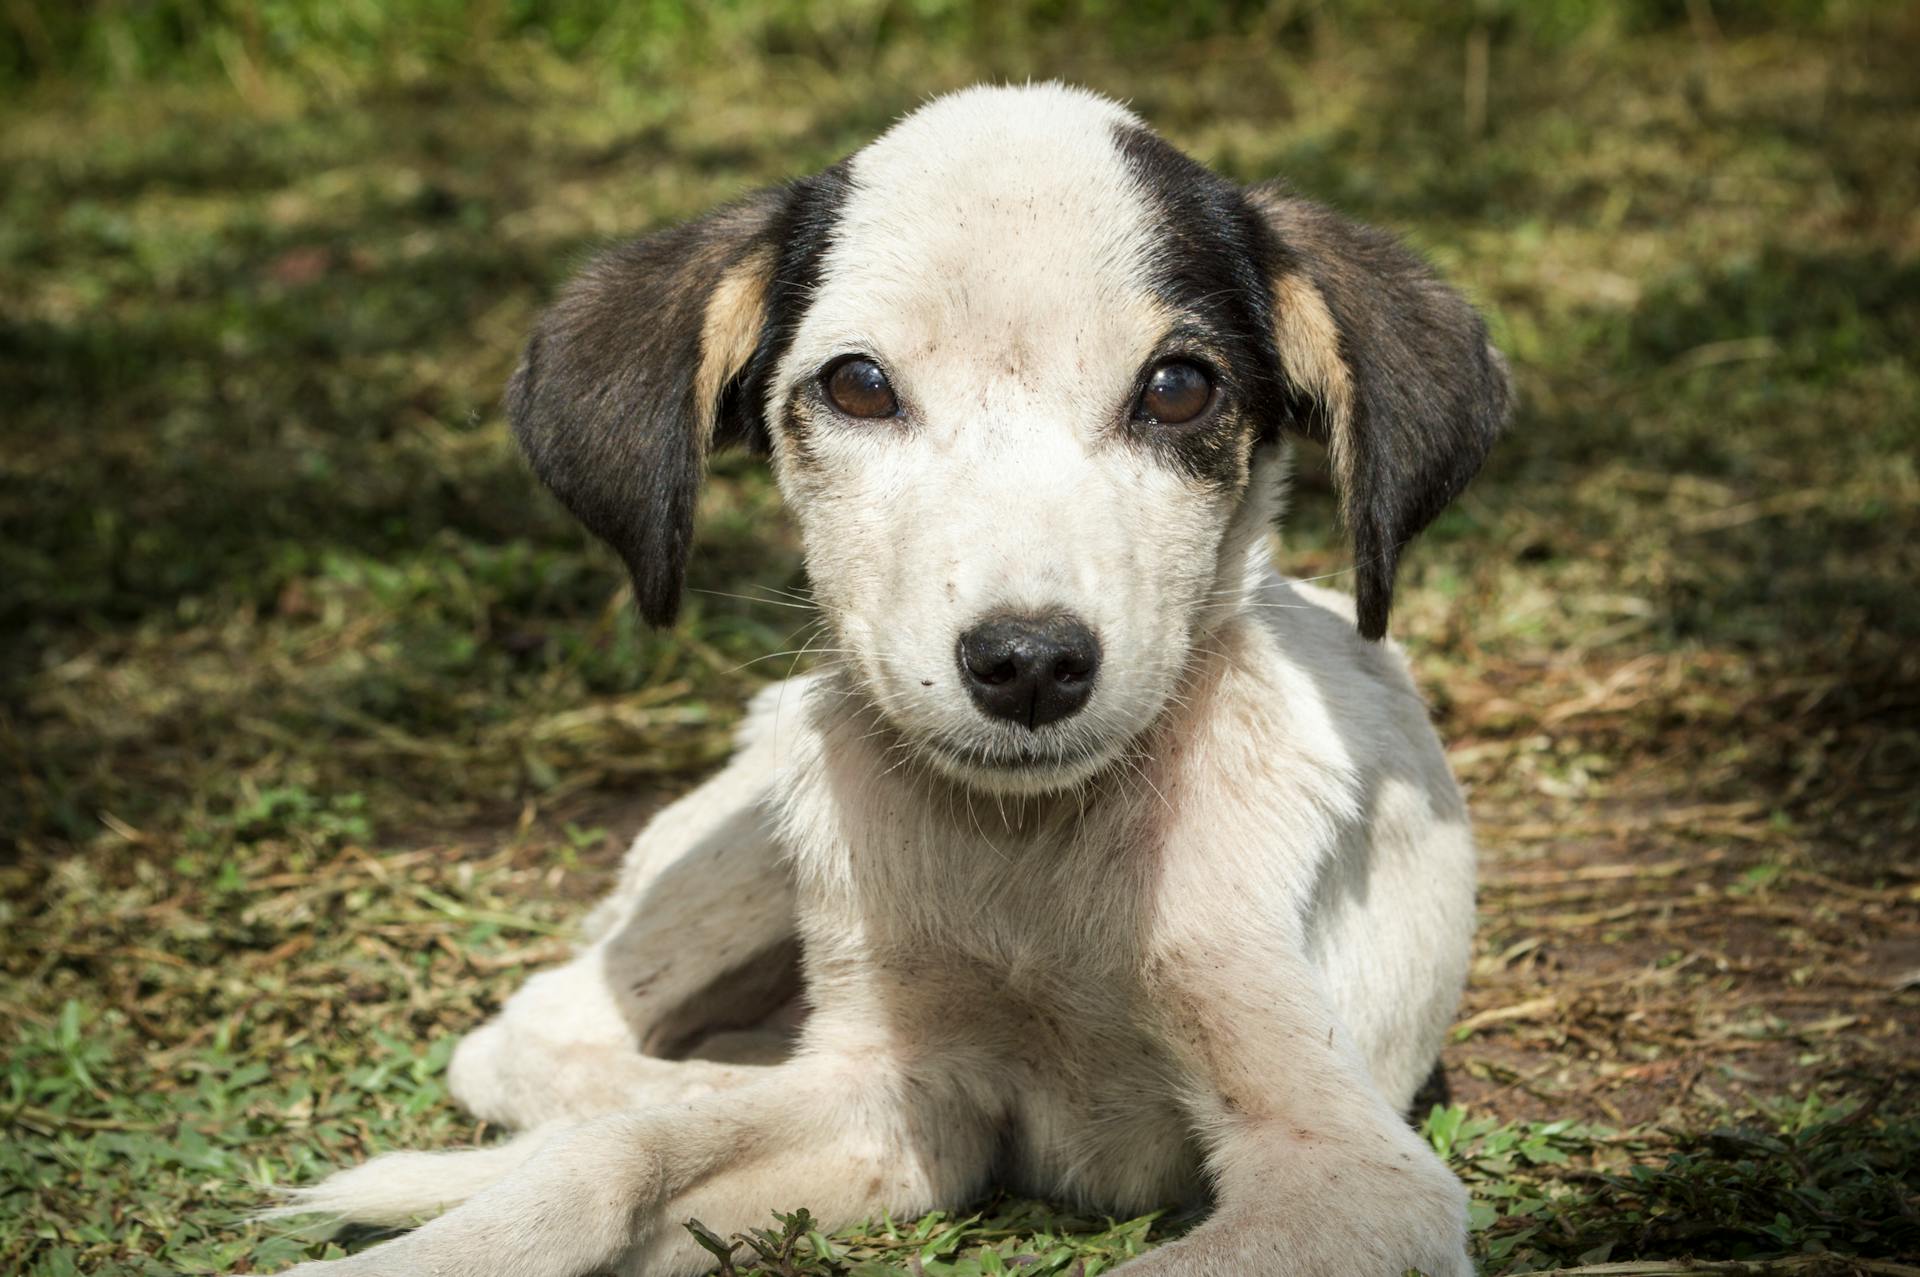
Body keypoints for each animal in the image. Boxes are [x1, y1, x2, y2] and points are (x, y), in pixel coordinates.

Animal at [280, 82, 1512, 1275]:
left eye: (1178, 388)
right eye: (861, 385)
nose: (1028, 665)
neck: (1027, 854)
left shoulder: (1350, 1167)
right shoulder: (907, 1094)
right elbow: (613, 1156)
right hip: (761, 829)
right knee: (544, 1033)